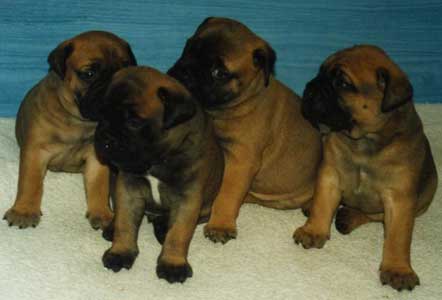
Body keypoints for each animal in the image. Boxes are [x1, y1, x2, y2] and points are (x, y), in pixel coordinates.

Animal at [3, 31, 136, 230]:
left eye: (124, 73)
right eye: (89, 74)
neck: (79, 120)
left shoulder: (97, 158)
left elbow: (99, 186)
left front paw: (102, 213)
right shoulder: (35, 151)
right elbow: (30, 182)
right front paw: (24, 211)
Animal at [93, 66, 224, 284]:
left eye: (134, 121)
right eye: (102, 114)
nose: (105, 138)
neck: (157, 160)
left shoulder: (187, 199)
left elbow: (178, 233)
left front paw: (173, 264)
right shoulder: (128, 189)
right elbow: (125, 223)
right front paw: (120, 252)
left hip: (206, 207)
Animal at [167, 17, 322, 244]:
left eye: (219, 73)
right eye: (189, 48)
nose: (185, 73)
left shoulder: (239, 161)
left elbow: (226, 195)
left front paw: (220, 225)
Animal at [294, 44, 438, 290]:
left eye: (342, 83)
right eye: (320, 72)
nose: (309, 88)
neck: (364, 140)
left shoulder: (399, 197)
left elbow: (397, 236)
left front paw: (398, 269)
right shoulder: (330, 175)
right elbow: (323, 204)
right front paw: (313, 230)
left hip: (425, 196)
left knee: (375, 216)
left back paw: (349, 216)